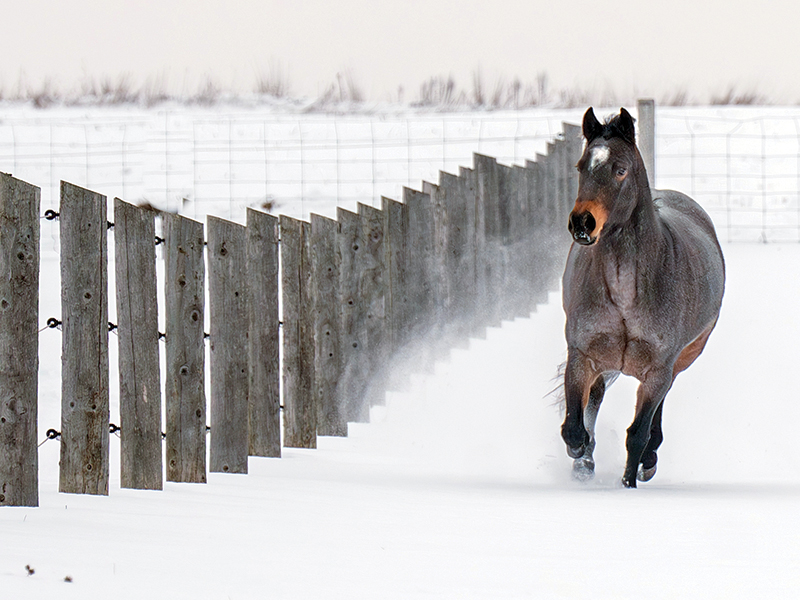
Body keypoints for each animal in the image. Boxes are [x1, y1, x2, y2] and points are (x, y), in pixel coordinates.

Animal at [561, 107, 725, 488]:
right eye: (581, 166)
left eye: (620, 169)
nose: (582, 223)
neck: (626, 294)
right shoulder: (582, 355)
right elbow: (573, 426)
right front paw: (581, 456)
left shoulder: (658, 369)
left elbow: (637, 433)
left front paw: (629, 483)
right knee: (595, 398)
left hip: (678, 363)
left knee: (656, 414)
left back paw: (648, 461)